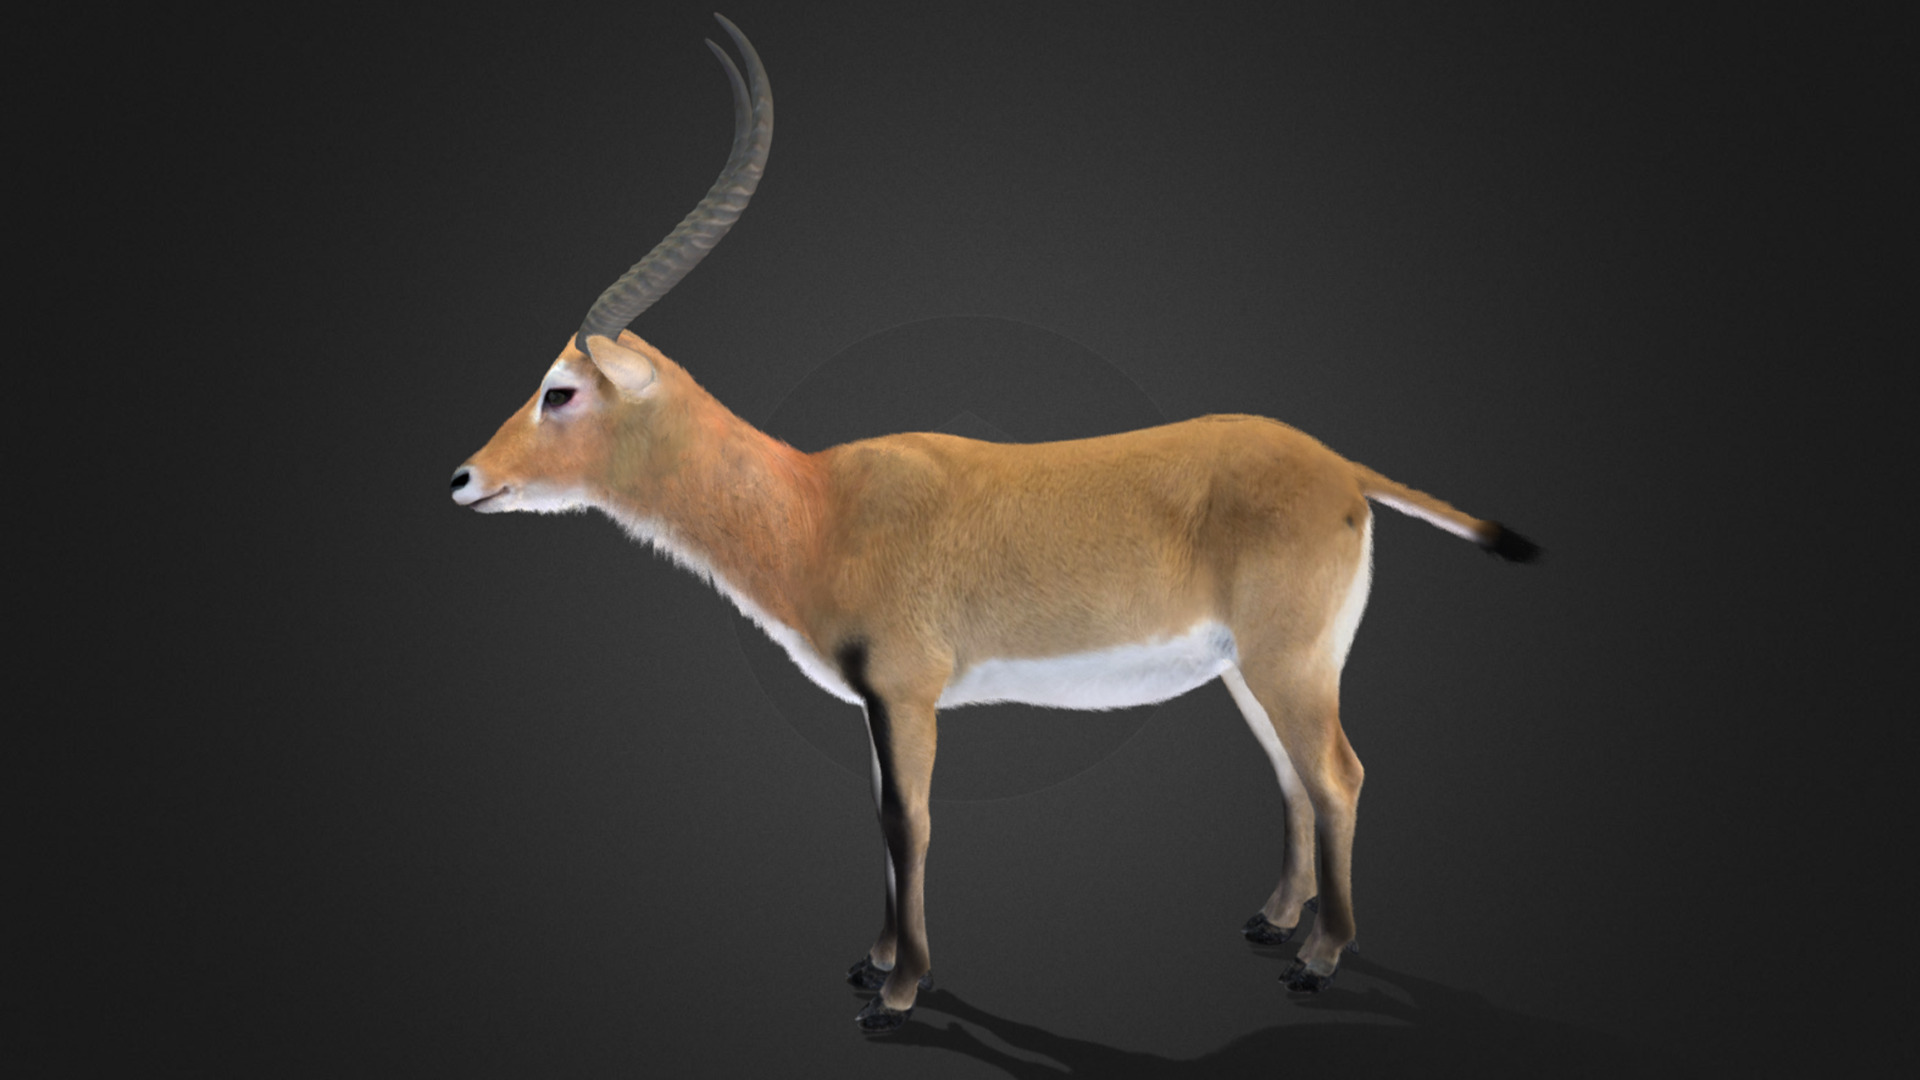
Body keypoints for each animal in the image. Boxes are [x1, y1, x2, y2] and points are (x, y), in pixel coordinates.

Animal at [451, 14, 1540, 1034]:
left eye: (558, 392)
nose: (464, 478)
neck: (818, 504)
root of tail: (1339, 467)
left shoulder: (908, 694)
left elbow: (910, 822)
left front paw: (899, 993)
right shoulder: (877, 704)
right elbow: (880, 817)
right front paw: (873, 963)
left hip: (1291, 661)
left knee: (1338, 774)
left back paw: (1319, 960)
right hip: (1249, 669)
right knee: (1293, 774)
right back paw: (1276, 922)